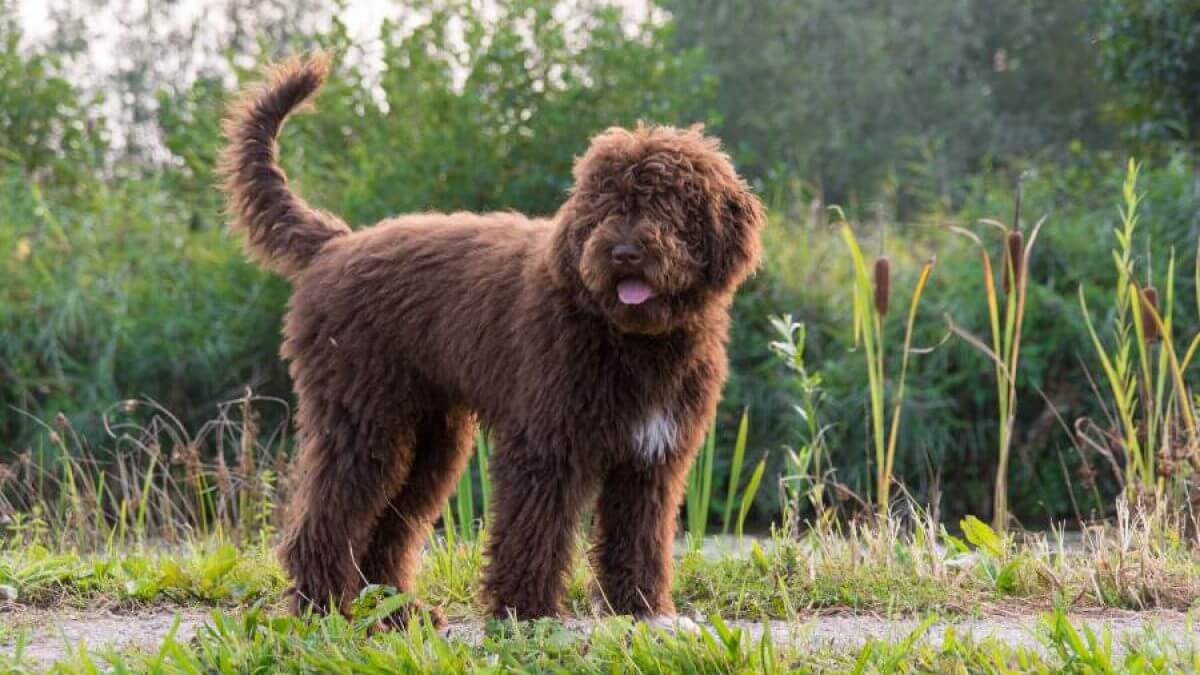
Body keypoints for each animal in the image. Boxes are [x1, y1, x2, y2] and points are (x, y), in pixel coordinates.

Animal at [218, 55, 758, 629]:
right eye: (604, 206)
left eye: (666, 203)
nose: (624, 253)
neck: (629, 338)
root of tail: (335, 243)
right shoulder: (547, 443)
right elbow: (534, 528)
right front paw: (527, 611)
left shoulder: (651, 457)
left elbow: (639, 537)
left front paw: (642, 609)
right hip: (363, 420)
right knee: (329, 514)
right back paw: (320, 608)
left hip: (429, 438)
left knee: (391, 525)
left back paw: (399, 612)